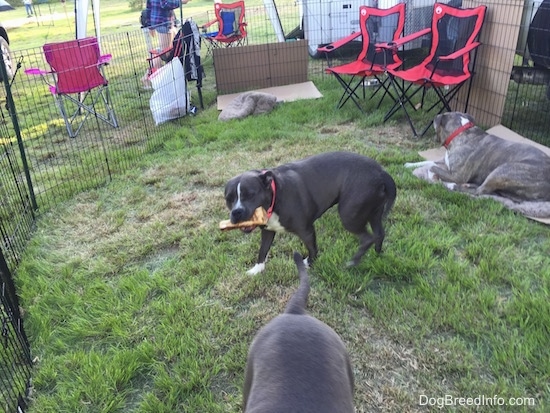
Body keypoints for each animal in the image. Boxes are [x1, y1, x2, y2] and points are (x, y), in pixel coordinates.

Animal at [224, 150, 396, 274]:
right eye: (228, 198)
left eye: (250, 195)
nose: (236, 212)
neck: (275, 195)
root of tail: (381, 172)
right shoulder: (268, 231)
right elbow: (262, 251)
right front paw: (257, 270)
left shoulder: (306, 230)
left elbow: (313, 249)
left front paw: (308, 263)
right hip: (374, 212)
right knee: (379, 234)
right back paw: (377, 254)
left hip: (349, 216)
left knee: (367, 238)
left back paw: (353, 262)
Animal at [410, 111, 550, 203]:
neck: (460, 132)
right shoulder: (445, 163)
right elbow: (429, 162)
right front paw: (409, 164)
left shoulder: (458, 176)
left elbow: (432, 167)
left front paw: (432, 177)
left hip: (503, 170)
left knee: (480, 191)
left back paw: (451, 186)